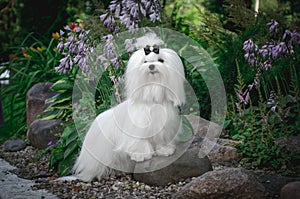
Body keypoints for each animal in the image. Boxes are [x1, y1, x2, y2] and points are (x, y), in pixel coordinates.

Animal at [72, 33, 185, 182]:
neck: (152, 95)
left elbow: (161, 140)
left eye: (161, 60)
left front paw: (165, 151)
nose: (152, 66)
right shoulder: (138, 131)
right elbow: (140, 144)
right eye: (145, 62)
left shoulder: (163, 128)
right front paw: (142, 155)